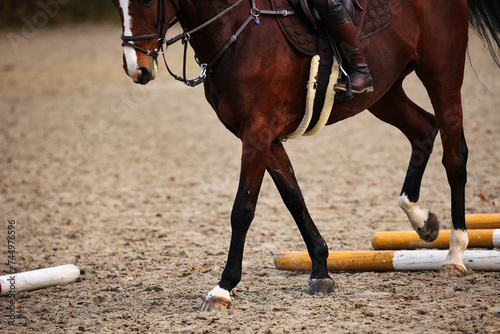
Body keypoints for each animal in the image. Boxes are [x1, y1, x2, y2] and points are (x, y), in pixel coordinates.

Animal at [109, 0, 500, 310]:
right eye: (117, 3)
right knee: (422, 130)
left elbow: (243, 210)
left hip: (442, 73)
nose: (136, 69)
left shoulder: (257, 133)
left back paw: (455, 254)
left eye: (147, 0)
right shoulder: (263, 138)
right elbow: (294, 198)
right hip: (384, 92)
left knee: (454, 156)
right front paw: (321, 272)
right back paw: (422, 220)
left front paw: (222, 288)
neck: (234, 29)